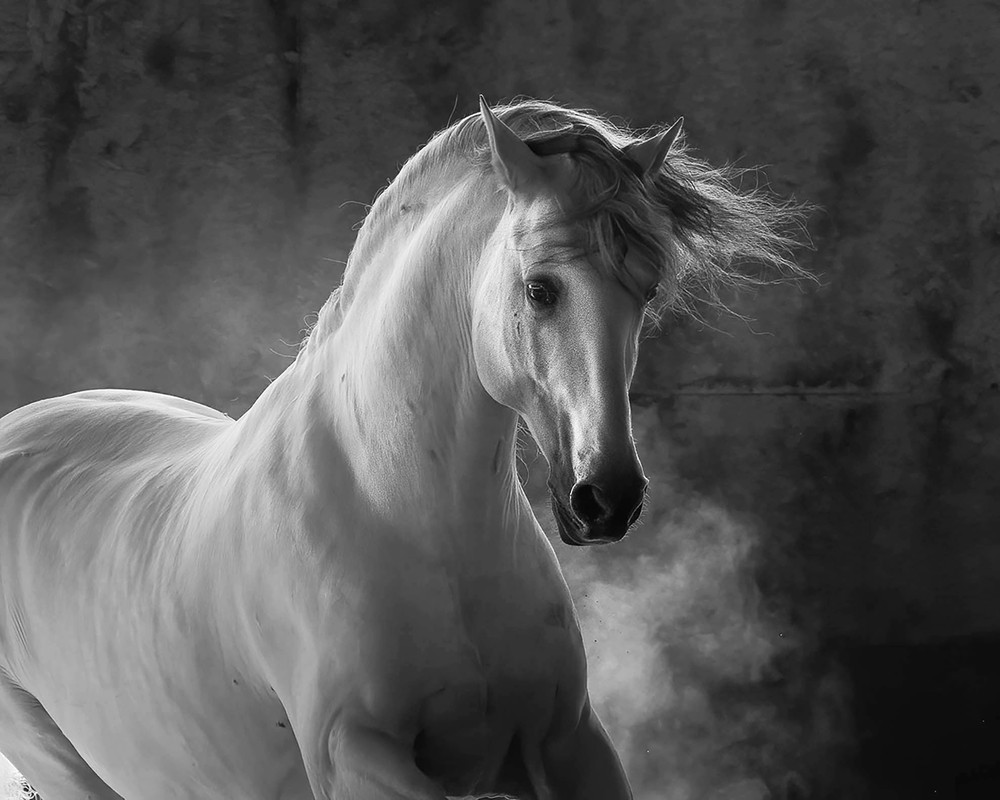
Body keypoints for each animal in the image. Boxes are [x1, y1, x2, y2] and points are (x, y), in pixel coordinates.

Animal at [0, 97, 799, 800]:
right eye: (541, 290)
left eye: (648, 290)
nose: (607, 498)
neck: (404, 514)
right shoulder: (352, 757)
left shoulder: (570, 742)